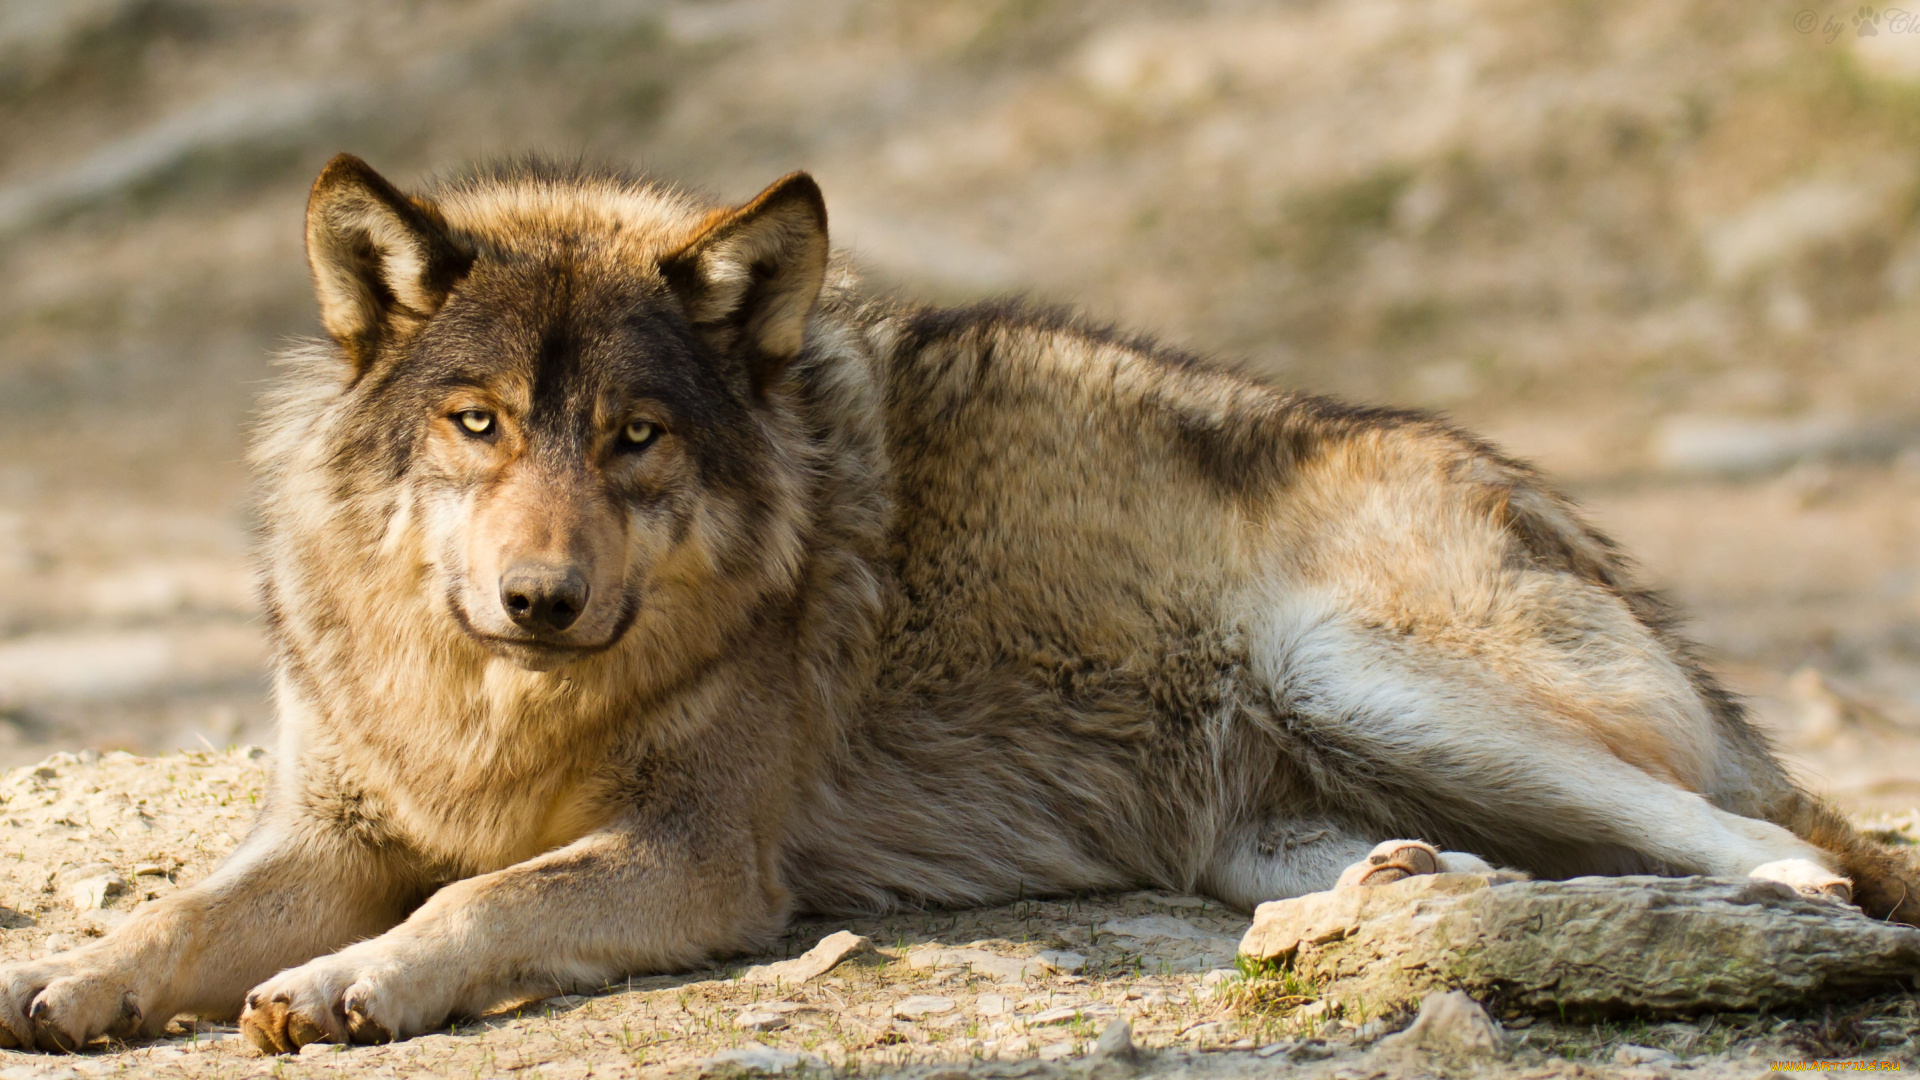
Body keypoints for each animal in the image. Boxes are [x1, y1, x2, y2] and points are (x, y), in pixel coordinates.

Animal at [7, 155, 1912, 1045]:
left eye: (633, 437)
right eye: (476, 424)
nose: (540, 597)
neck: (493, 706)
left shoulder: (698, 862)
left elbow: (480, 904)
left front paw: (351, 985)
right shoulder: (332, 824)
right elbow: (180, 919)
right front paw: (74, 982)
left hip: (1358, 669)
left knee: (1780, 842)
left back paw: (1760, 898)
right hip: (1254, 816)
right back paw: (1394, 891)